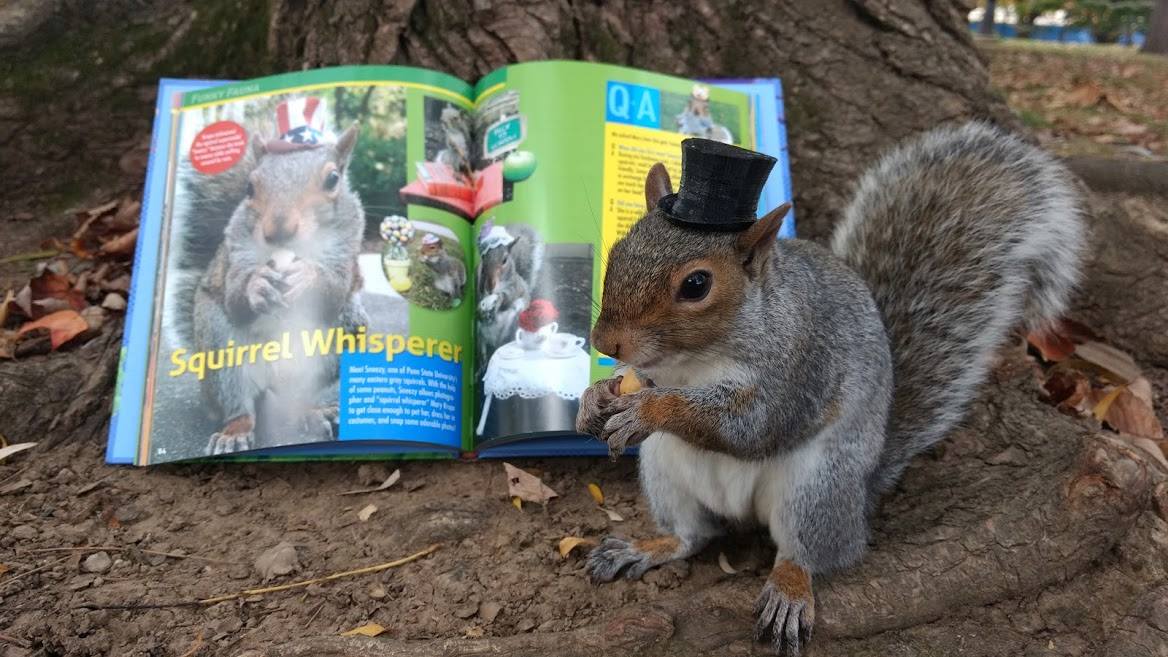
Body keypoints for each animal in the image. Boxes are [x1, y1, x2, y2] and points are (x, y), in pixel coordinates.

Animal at [169, 122, 366, 453]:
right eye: (249, 187)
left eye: (332, 179)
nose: (278, 230)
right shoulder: (236, 252)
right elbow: (234, 298)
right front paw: (256, 286)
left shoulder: (346, 250)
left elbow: (336, 290)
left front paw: (308, 277)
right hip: (220, 348)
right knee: (238, 404)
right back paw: (234, 431)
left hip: (341, 336)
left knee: (297, 398)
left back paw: (313, 412)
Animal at [574, 121, 1083, 649]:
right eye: (619, 248)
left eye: (696, 285)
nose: (605, 341)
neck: (694, 361)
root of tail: (862, 492)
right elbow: (635, 382)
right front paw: (594, 398)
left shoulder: (801, 371)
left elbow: (751, 428)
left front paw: (648, 410)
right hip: (665, 471)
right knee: (692, 536)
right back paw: (647, 546)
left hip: (817, 487)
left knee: (809, 553)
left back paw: (790, 590)